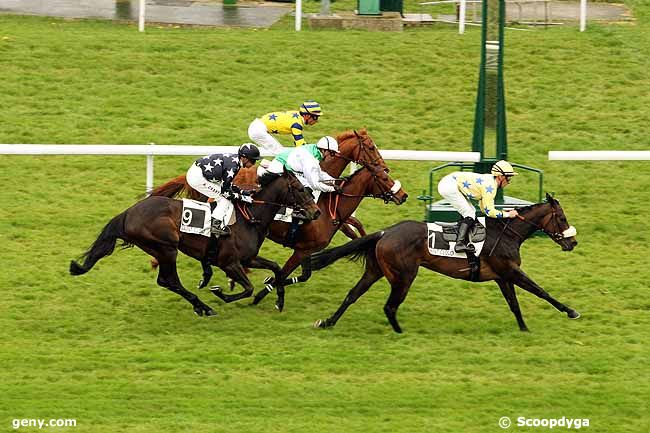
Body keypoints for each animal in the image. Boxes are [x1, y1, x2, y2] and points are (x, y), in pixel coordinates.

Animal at [69, 170, 318, 316]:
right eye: (299, 188)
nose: (315, 212)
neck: (250, 217)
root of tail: (128, 213)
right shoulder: (229, 262)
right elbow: (247, 288)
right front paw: (220, 293)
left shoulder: (248, 258)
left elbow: (276, 268)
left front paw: (279, 301)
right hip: (166, 247)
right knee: (168, 280)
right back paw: (203, 307)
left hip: (162, 249)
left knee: (168, 281)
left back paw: (201, 305)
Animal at [308, 194, 576, 332]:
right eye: (562, 218)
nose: (573, 242)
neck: (507, 233)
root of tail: (385, 232)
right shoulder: (510, 270)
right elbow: (540, 291)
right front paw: (571, 311)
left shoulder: (502, 276)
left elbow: (514, 303)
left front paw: (523, 328)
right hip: (404, 276)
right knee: (390, 306)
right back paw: (400, 332)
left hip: (376, 271)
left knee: (353, 294)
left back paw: (328, 322)